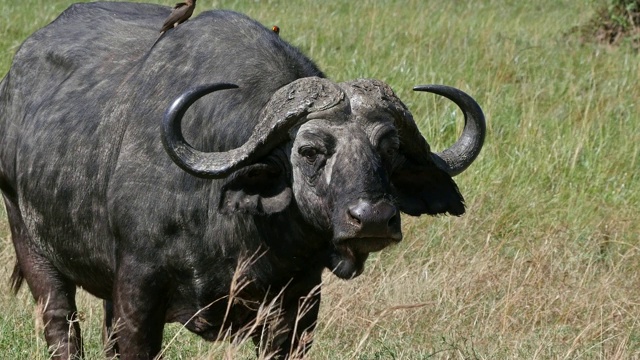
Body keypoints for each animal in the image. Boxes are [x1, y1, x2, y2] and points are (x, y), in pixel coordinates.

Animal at [0, 1, 484, 358]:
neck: (236, 226)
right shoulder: (138, 291)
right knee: (61, 326)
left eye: (388, 149)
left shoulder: (297, 306)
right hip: (33, 246)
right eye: (309, 151)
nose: (373, 219)